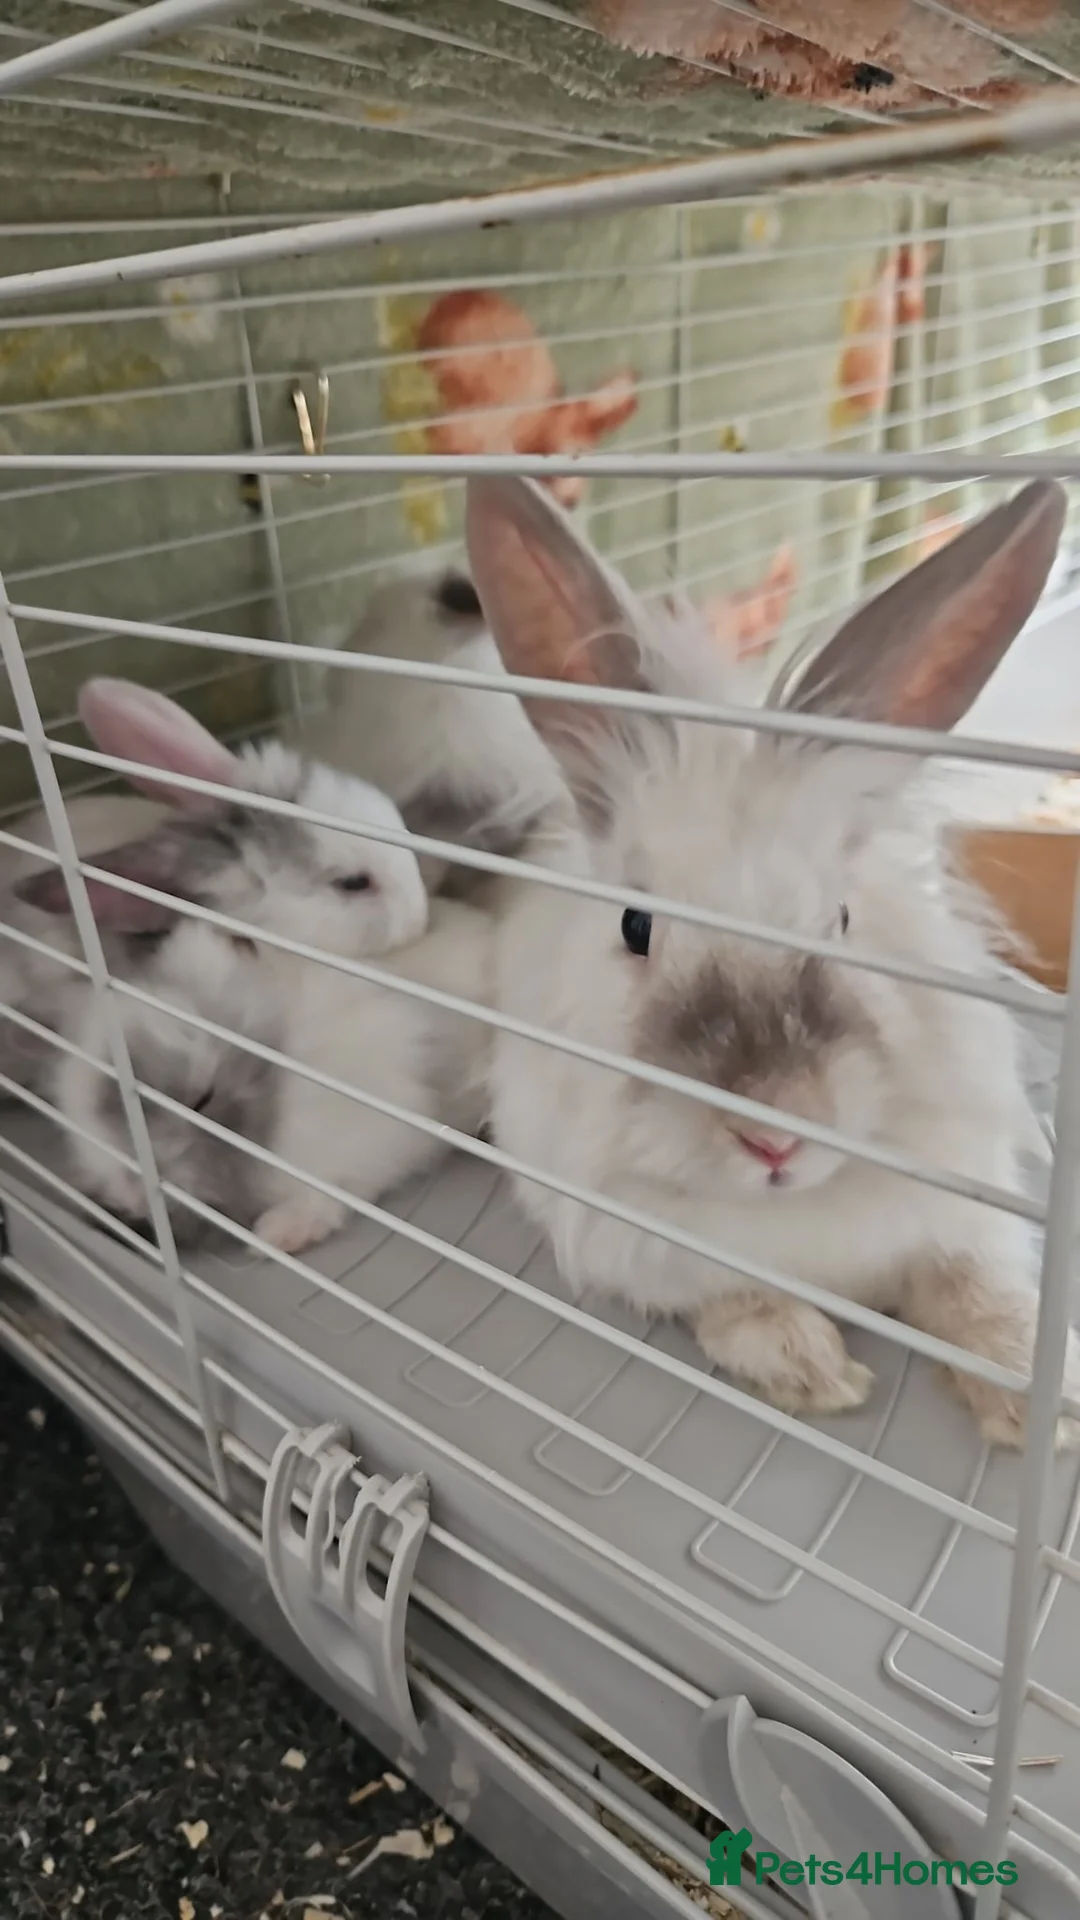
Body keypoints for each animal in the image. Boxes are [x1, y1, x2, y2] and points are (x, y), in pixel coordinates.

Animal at [463, 471, 1080, 1451]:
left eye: (840, 918)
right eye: (636, 926)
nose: (776, 1135)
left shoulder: (962, 1208)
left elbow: (975, 1290)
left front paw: (1038, 1408)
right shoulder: (641, 1244)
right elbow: (734, 1300)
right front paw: (812, 1369)